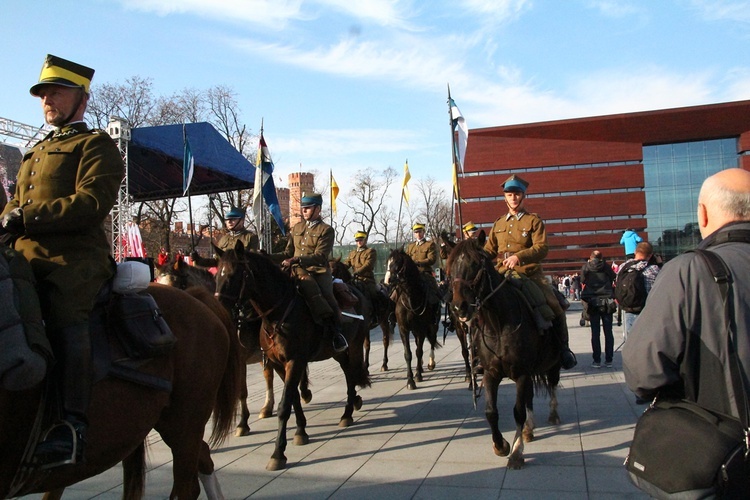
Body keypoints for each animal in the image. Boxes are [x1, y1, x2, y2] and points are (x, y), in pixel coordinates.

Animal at [214, 244, 370, 470]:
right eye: (217, 274)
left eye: (234, 274)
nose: (218, 308)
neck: (277, 314)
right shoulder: (279, 364)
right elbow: (293, 398)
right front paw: (300, 432)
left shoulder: (294, 361)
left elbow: (284, 405)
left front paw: (278, 453)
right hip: (337, 352)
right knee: (349, 373)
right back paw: (350, 408)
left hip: (356, 345)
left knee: (352, 375)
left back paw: (347, 413)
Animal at [384, 250, 444, 390]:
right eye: (388, 262)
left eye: (397, 262)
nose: (387, 280)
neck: (410, 297)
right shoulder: (403, 329)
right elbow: (408, 354)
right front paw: (410, 380)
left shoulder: (421, 328)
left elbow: (419, 351)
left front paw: (417, 376)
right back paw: (420, 367)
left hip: (433, 325)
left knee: (432, 340)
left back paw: (430, 363)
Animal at [444, 240, 560, 470]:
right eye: (450, 268)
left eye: (474, 264)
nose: (458, 307)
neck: (498, 324)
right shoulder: (491, 373)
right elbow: (491, 411)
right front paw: (501, 445)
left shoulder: (522, 373)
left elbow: (518, 411)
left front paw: (516, 452)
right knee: (530, 396)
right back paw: (529, 429)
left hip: (554, 362)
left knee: (552, 384)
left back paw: (553, 414)